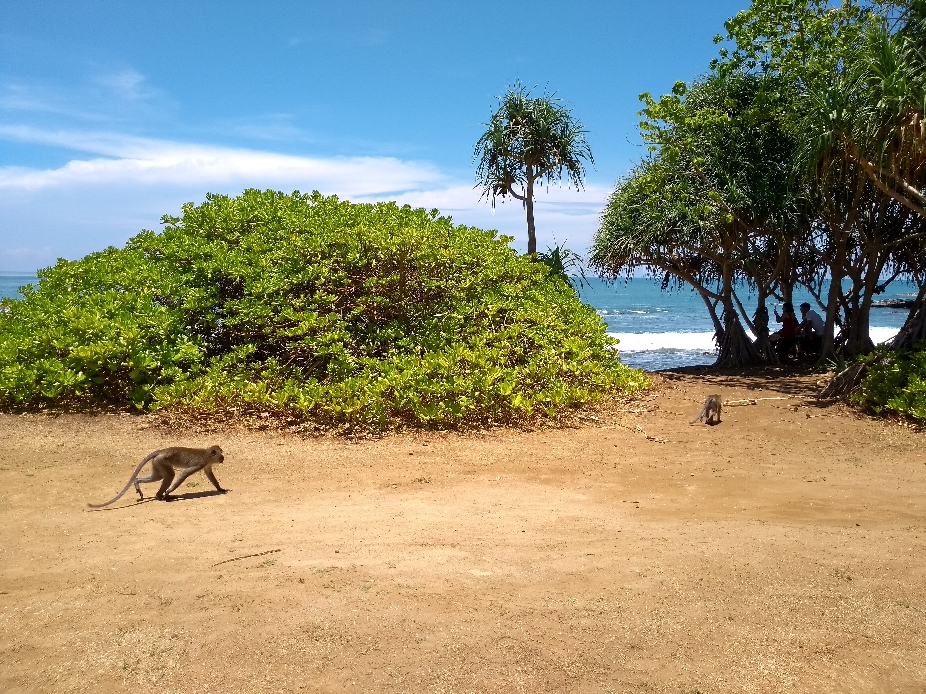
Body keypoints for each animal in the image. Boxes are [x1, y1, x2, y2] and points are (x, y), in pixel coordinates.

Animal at [88, 446, 225, 508]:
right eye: (221, 455)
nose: (223, 458)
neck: (207, 455)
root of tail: (161, 451)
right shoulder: (201, 463)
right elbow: (184, 474)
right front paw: (169, 490)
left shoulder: (207, 464)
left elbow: (210, 475)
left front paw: (220, 488)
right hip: (162, 461)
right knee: (170, 475)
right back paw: (161, 496)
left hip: (157, 463)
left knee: (158, 477)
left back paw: (137, 482)